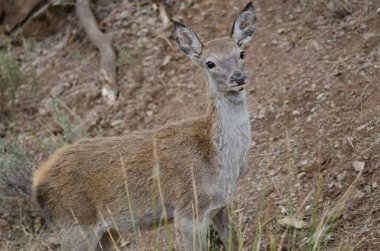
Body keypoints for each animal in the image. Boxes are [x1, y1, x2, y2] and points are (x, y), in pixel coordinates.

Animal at [31, 2, 255, 251]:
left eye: (241, 53)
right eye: (210, 63)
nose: (238, 77)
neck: (219, 159)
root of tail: (37, 180)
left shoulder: (220, 204)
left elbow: (233, 241)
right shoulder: (188, 211)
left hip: (106, 232)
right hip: (75, 227)